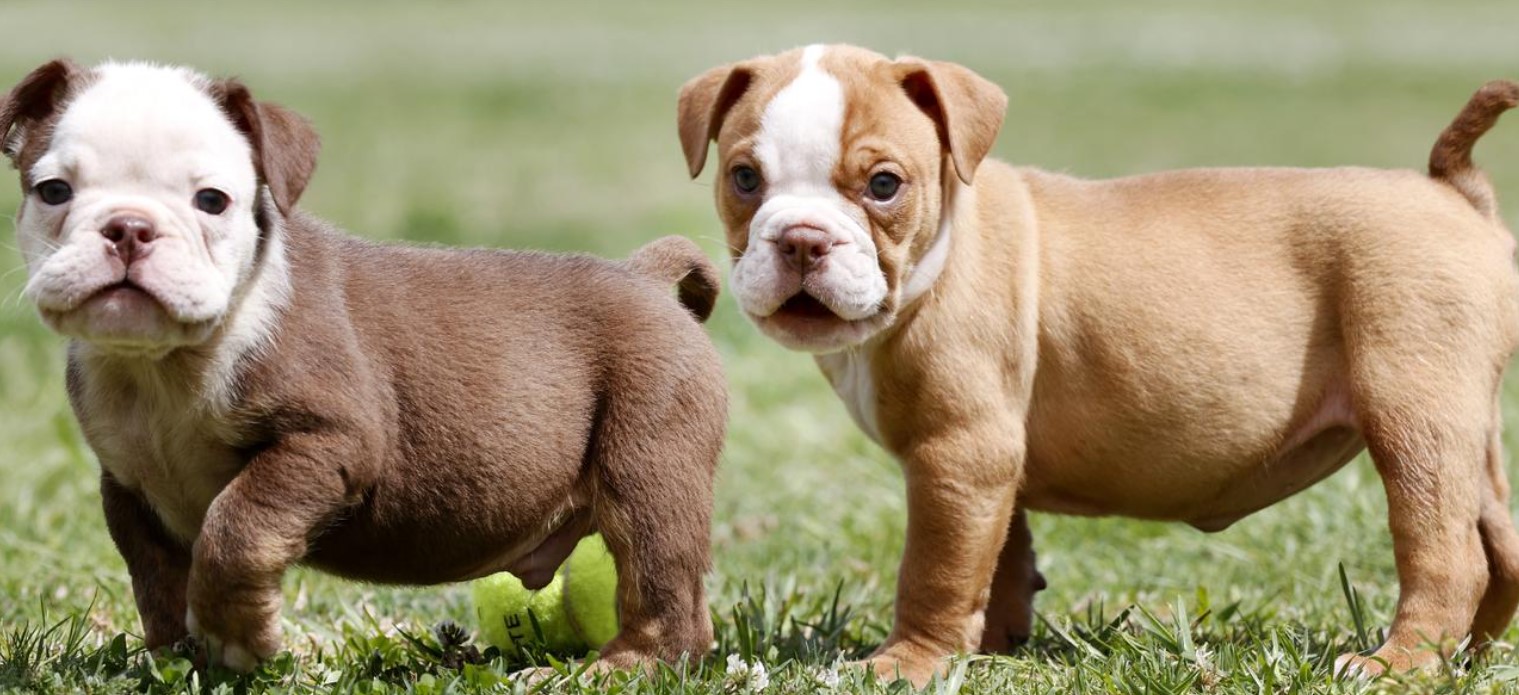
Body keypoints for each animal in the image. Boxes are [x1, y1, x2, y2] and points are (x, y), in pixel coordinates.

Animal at [4, 59, 729, 673]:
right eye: (52, 191)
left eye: (211, 200)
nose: (128, 227)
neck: (164, 363)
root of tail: (643, 274)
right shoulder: (129, 487)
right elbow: (157, 579)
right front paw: (179, 660)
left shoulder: (329, 440)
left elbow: (235, 528)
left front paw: (238, 639)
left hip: (651, 456)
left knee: (662, 576)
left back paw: (623, 665)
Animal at [680, 44, 1519, 682]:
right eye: (744, 178)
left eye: (883, 185)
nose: (801, 239)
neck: (939, 249)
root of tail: (1449, 188)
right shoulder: (989, 463)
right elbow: (998, 554)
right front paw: (992, 646)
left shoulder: (959, 452)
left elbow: (935, 566)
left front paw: (908, 661)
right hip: (1460, 425)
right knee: (1499, 543)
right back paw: (1469, 656)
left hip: (1412, 412)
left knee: (1447, 554)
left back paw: (1400, 663)